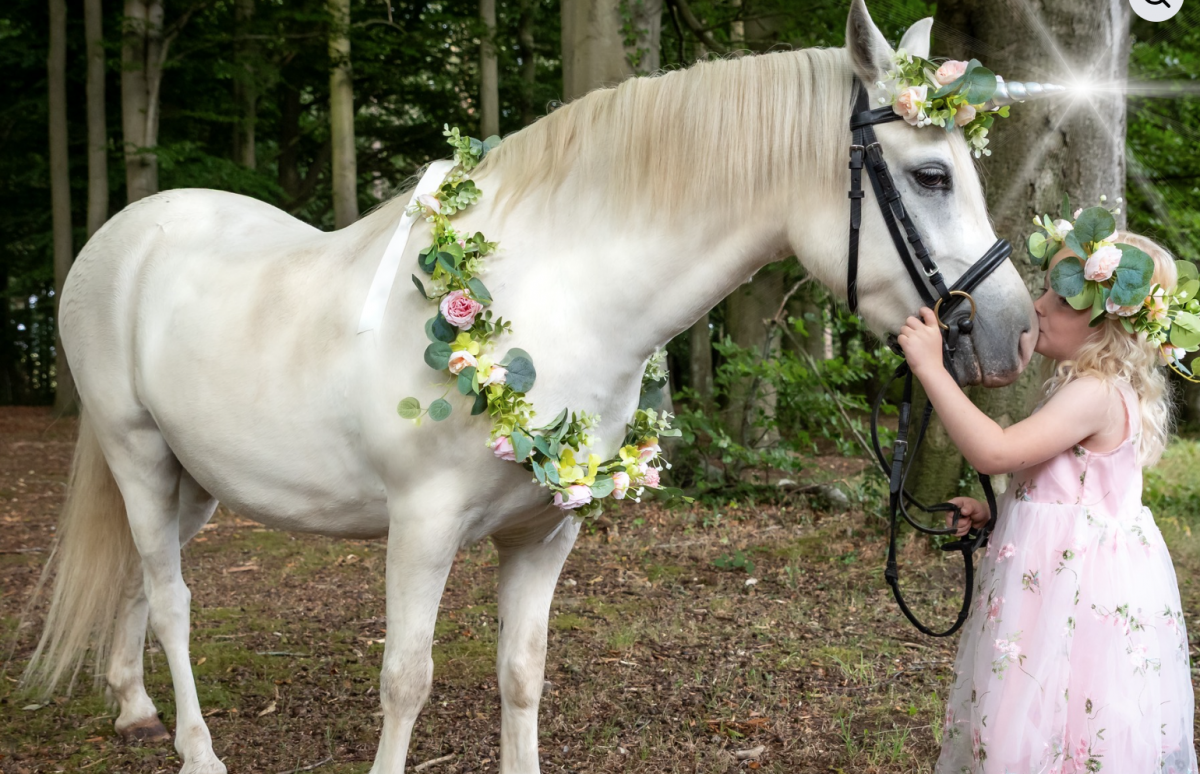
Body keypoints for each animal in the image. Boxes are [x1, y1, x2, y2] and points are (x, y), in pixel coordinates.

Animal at [23, 2, 1037, 772]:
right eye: (931, 174)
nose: (1016, 333)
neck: (557, 294)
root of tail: (124, 233)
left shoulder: (546, 532)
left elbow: (522, 673)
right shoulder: (421, 529)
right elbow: (407, 680)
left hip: (192, 480)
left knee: (145, 580)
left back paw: (134, 709)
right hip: (137, 455)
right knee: (174, 599)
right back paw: (196, 750)